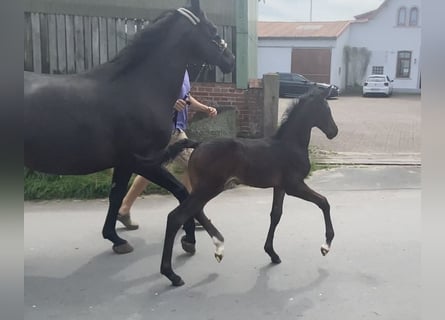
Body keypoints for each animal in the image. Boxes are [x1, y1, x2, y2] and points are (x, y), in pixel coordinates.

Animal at [159, 85, 336, 284]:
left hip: (205, 188)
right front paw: (326, 245)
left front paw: (272, 253)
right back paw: (172, 274)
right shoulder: (294, 185)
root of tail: (198, 144)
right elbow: (323, 202)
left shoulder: (280, 187)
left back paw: (218, 246)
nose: (334, 131)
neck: (290, 144)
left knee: (196, 211)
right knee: (176, 217)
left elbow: (276, 215)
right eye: (326, 109)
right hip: (209, 188)